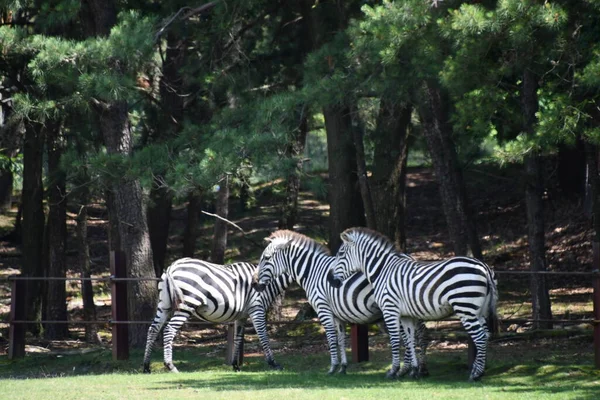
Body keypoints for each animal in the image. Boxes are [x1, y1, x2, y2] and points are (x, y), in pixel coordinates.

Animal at [142, 258, 290, 374]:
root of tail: (171, 267)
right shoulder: (256, 308)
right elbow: (263, 335)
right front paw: (273, 363)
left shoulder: (242, 315)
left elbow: (238, 338)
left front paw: (235, 365)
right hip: (187, 304)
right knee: (169, 330)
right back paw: (170, 366)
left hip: (164, 304)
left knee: (153, 329)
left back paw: (146, 367)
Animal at [251, 230, 428, 376]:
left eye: (266, 258)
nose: (254, 284)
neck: (312, 272)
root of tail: (409, 258)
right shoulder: (337, 314)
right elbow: (341, 338)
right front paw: (343, 367)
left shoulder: (323, 308)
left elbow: (331, 337)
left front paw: (333, 367)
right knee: (414, 333)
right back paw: (413, 369)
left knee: (416, 333)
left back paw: (414, 369)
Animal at [330, 228, 500, 382]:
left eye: (340, 254)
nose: (331, 281)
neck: (382, 271)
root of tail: (484, 267)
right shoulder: (406, 315)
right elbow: (410, 340)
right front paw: (414, 371)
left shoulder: (389, 310)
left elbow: (395, 340)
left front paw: (393, 371)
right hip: (479, 311)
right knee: (486, 335)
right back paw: (479, 370)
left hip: (465, 308)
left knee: (480, 337)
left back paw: (476, 374)